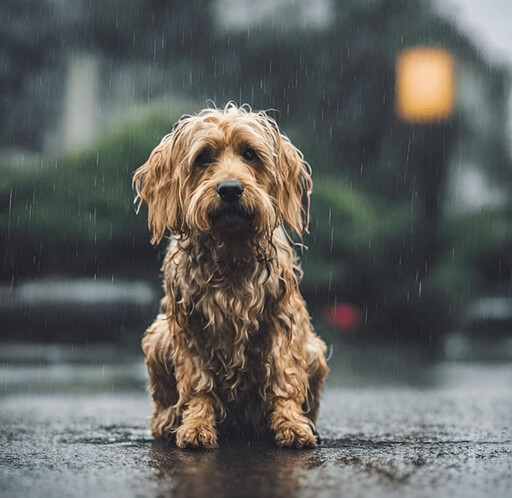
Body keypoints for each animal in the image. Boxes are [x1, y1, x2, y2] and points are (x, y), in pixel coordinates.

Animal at [133, 103, 328, 450]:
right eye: (203, 157)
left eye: (250, 153)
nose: (230, 190)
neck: (231, 253)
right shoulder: (190, 327)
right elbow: (198, 384)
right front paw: (196, 426)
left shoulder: (281, 321)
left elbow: (284, 379)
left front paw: (292, 426)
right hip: (157, 337)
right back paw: (168, 422)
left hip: (314, 351)